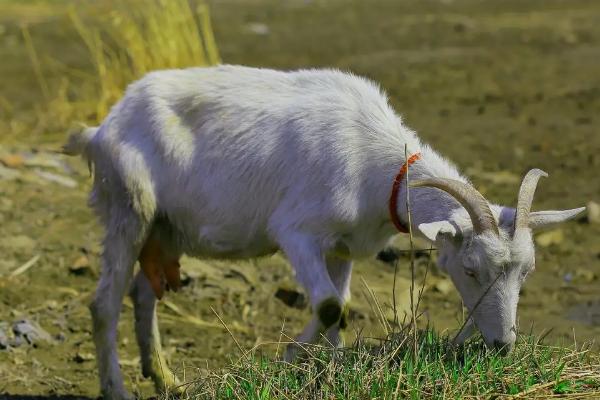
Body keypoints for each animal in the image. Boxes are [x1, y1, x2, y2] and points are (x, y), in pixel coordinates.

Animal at [63, 64, 584, 398]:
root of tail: (102, 128)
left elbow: (343, 310)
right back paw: (117, 389)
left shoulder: (342, 247)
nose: (503, 346)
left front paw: (331, 370)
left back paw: (165, 379)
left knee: (143, 292)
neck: (377, 163)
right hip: (127, 206)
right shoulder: (299, 233)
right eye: (471, 269)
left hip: (166, 229)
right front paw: (285, 362)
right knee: (104, 303)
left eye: (525, 272)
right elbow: (330, 305)